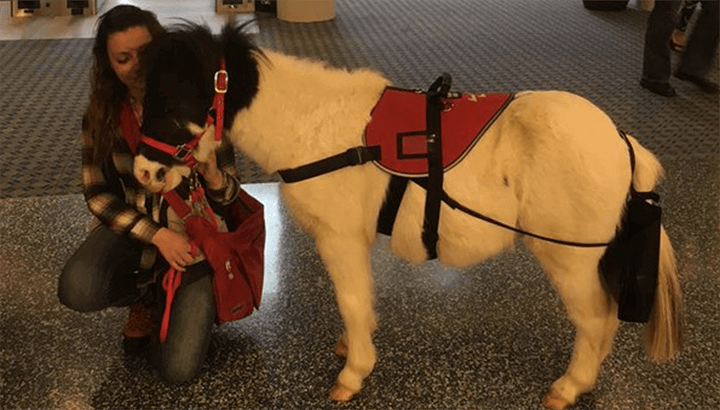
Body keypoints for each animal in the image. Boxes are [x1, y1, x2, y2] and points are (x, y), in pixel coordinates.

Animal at [133, 22, 682, 410]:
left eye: (173, 99)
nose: (142, 172)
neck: (314, 128)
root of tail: (621, 141)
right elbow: (361, 304)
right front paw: (352, 348)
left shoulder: (340, 240)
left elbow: (352, 301)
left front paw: (354, 373)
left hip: (570, 261)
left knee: (595, 320)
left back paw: (569, 386)